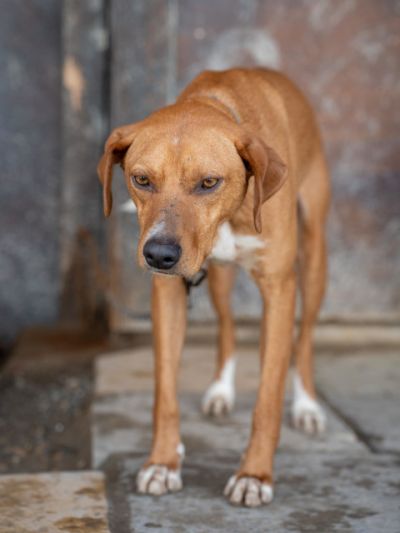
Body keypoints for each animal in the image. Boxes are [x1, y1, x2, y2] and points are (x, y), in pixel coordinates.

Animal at [98, 68, 330, 507]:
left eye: (208, 182)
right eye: (141, 179)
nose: (159, 255)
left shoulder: (279, 287)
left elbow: (268, 398)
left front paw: (254, 475)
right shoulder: (168, 293)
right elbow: (165, 394)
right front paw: (163, 463)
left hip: (312, 259)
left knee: (305, 336)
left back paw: (307, 404)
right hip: (219, 280)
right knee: (227, 325)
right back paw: (221, 390)